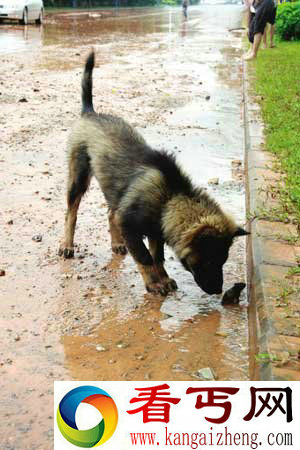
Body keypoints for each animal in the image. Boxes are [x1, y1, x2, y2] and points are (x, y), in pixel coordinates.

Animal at [58, 51, 248, 296]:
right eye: (208, 261)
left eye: (223, 261)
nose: (217, 291)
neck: (171, 195)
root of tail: (90, 113)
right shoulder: (130, 225)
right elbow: (145, 257)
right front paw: (154, 283)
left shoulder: (156, 229)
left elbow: (158, 256)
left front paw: (163, 278)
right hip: (78, 176)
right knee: (71, 213)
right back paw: (67, 245)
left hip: (113, 188)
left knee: (110, 212)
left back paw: (116, 243)